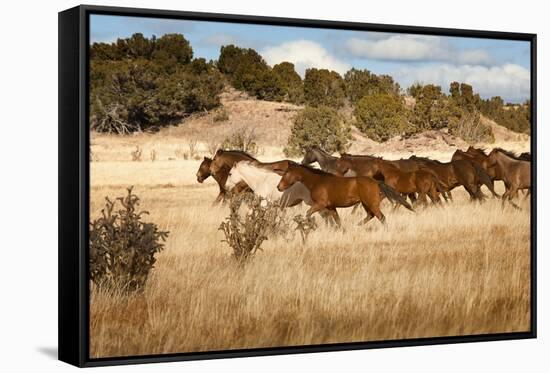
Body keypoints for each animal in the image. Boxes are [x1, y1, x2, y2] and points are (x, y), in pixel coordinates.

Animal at [276, 163, 414, 227]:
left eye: (286, 173)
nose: (279, 187)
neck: (317, 181)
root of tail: (376, 182)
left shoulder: (320, 204)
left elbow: (308, 214)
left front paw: (312, 225)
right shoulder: (331, 207)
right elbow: (337, 221)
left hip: (371, 203)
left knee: (381, 217)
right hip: (365, 204)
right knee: (370, 216)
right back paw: (357, 225)